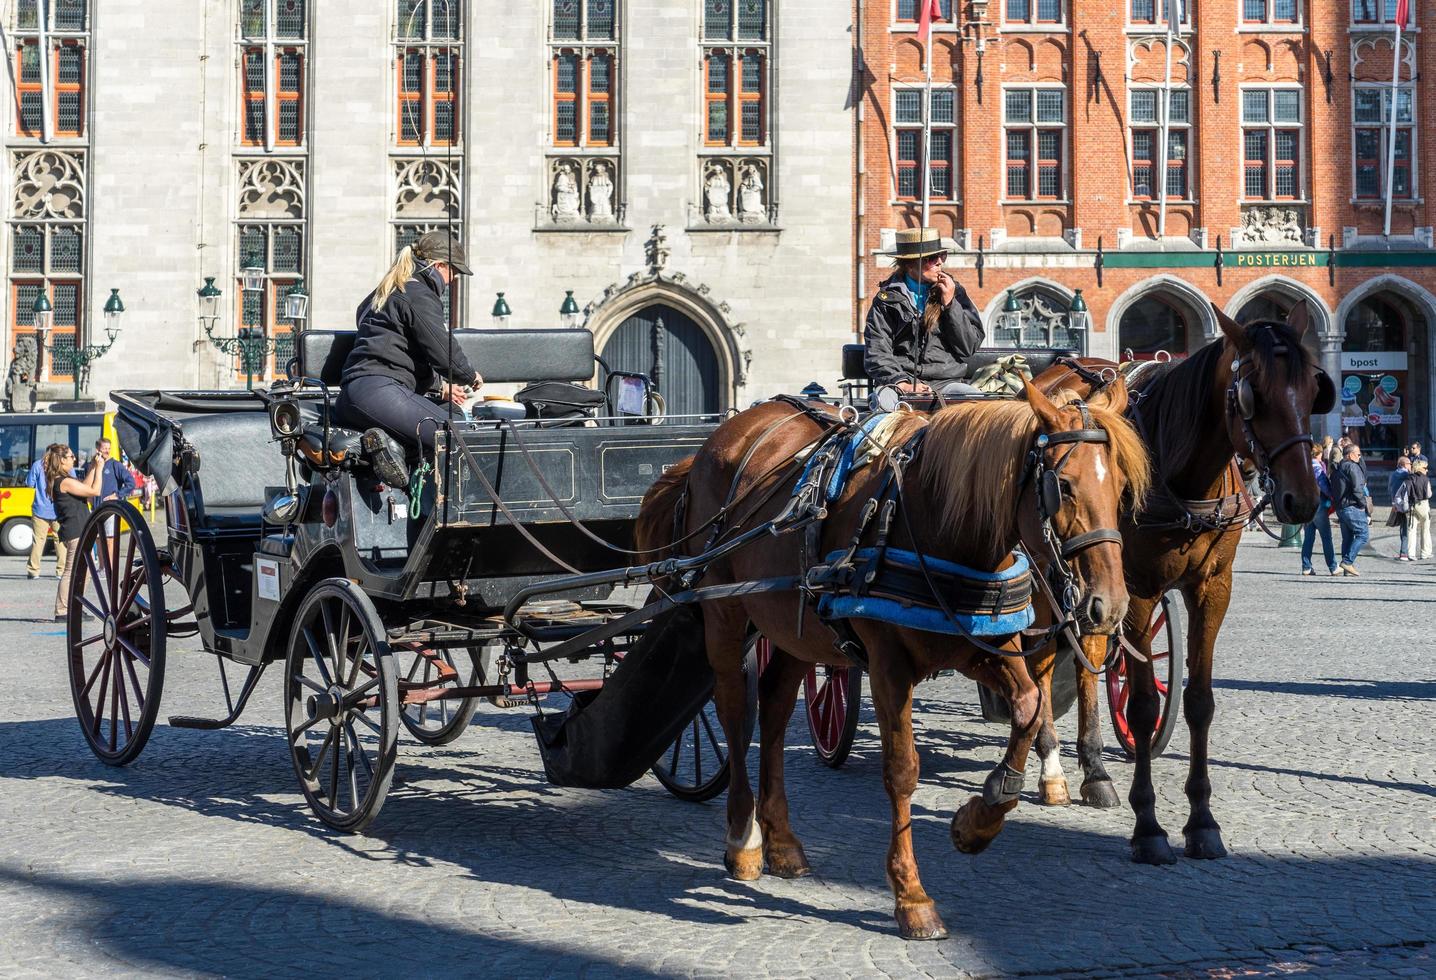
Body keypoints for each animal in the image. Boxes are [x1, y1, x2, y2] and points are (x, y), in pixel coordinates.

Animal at [634, 379, 1148, 931]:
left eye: (1121, 488)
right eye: (1063, 487)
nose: (1109, 605)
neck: (936, 519)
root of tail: (717, 439)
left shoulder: (987, 644)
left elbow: (1030, 707)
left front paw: (981, 818)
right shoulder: (887, 665)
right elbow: (902, 770)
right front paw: (911, 896)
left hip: (798, 625)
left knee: (773, 707)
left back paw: (783, 843)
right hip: (725, 613)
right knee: (735, 711)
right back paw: (743, 841)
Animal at [1028, 304, 1326, 862]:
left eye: (1314, 387)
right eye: (1252, 393)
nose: (1302, 499)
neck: (1183, 477)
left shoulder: (1213, 588)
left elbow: (1199, 702)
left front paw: (1202, 821)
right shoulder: (1138, 589)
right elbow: (1145, 706)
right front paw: (1148, 827)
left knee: (1088, 653)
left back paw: (1094, 769)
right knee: (1041, 657)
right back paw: (1054, 764)